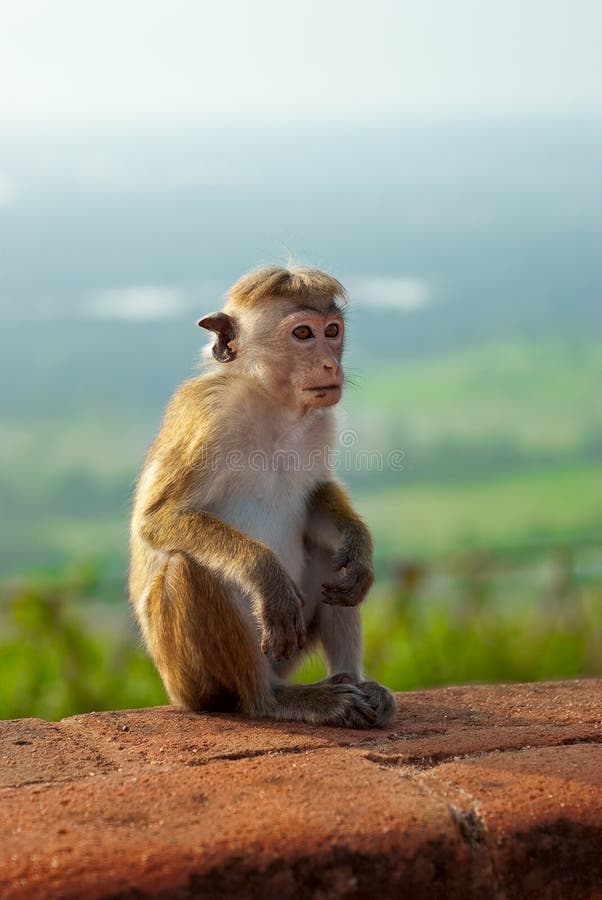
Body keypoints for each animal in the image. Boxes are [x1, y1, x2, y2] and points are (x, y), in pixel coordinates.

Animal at [129, 265, 396, 729]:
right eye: (303, 333)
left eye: (332, 331)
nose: (330, 363)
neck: (272, 404)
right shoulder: (210, 417)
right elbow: (158, 519)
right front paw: (266, 574)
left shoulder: (321, 423)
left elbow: (316, 496)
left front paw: (359, 546)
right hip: (194, 680)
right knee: (187, 568)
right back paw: (275, 700)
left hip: (290, 652)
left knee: (328, 554)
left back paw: (355, 680)